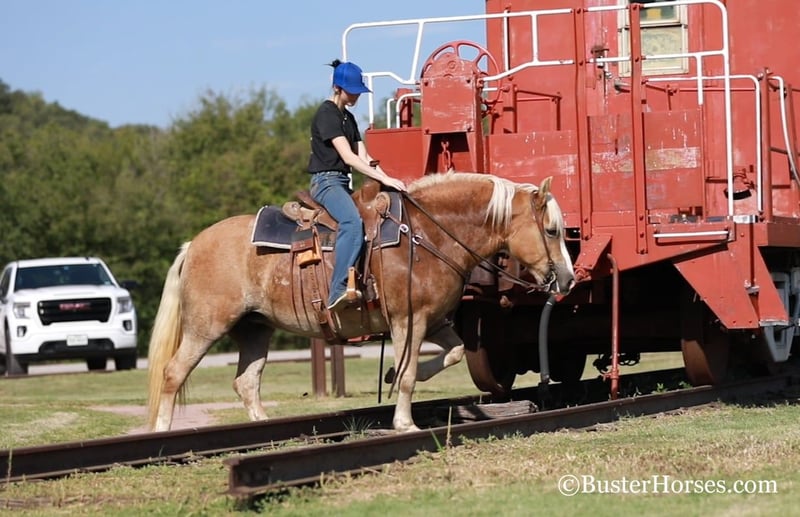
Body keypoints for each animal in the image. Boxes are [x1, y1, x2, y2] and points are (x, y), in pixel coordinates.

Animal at [146, 171, 575, 433]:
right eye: (552, 230)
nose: (568, 278)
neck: (428, 234)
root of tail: (193, 244)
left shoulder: (434, 321)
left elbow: (449, 355)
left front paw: (396, 377)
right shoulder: (408, 320)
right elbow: (407, 375)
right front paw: (405, 422)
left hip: (254, 329)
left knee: (246, 382)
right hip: (206, 327)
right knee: (173, 374)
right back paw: (161, 434)